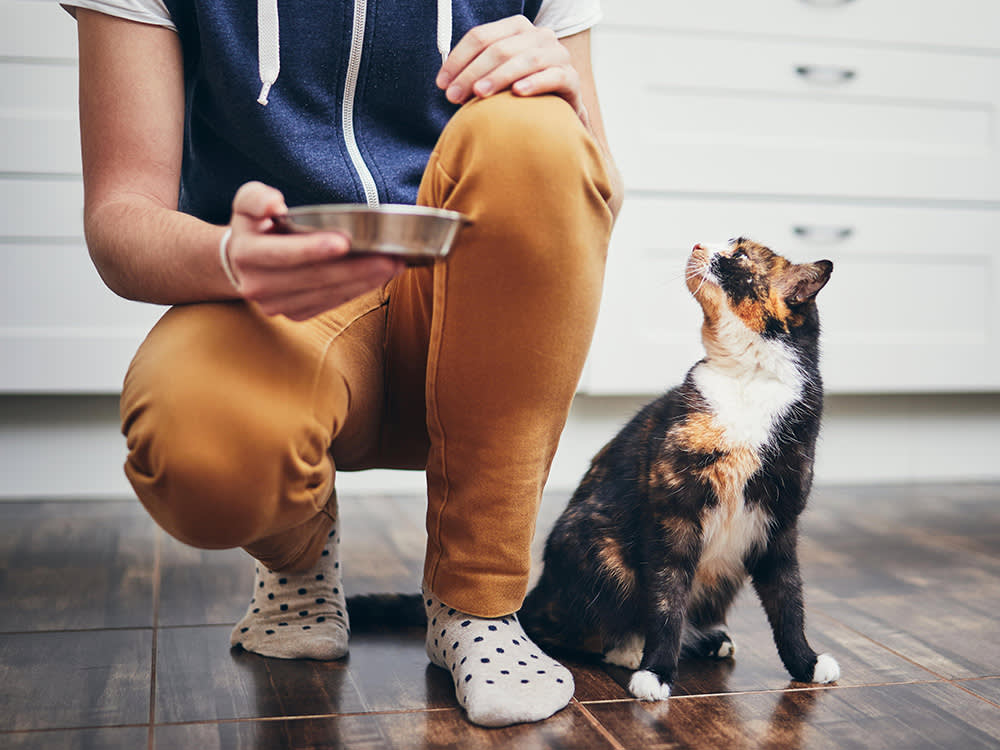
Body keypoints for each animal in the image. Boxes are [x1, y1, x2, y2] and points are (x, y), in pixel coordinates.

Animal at [520, 238, 840, 704]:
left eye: (739, 254)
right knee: (555, 629)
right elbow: (667, 601)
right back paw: (628, 650)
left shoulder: (778, 524)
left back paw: (710, 640)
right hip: (600, 548)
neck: (747, 377)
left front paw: (806, 663)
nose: (698, 243)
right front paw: (655, 672)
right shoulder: (675, 515)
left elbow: (789, 601)